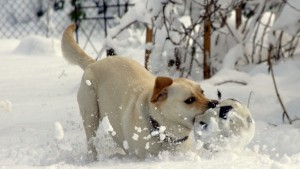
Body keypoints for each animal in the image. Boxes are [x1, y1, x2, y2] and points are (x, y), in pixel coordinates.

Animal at [61, 24, 218, 160]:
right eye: (190, 100)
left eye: (202, 91)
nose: (214, 103)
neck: (162, 132)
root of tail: (94, 63)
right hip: (90, 113)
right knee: (91, 142)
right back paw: (93, 159)